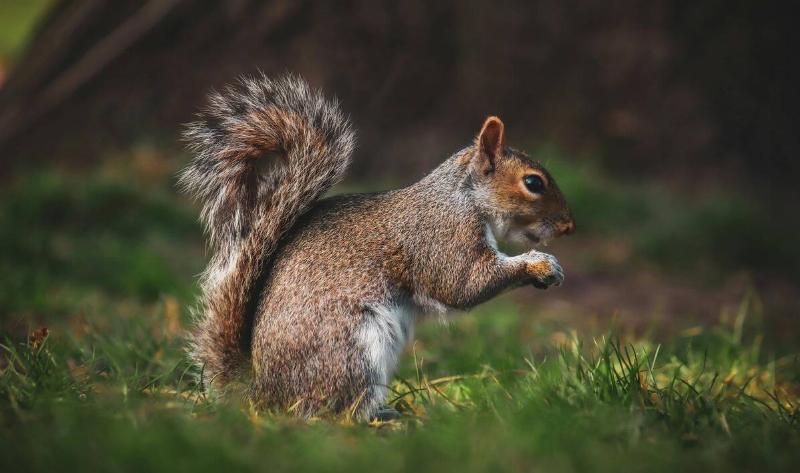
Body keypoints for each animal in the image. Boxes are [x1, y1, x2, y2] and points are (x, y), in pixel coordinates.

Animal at [179, 74, 575, 420]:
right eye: (533, 183)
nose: (568, 226)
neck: (462, 197)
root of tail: (261, 394)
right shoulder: (442, 236)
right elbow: (463, 284)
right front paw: (540, 264)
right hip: (352, 349)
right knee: (330, 411)